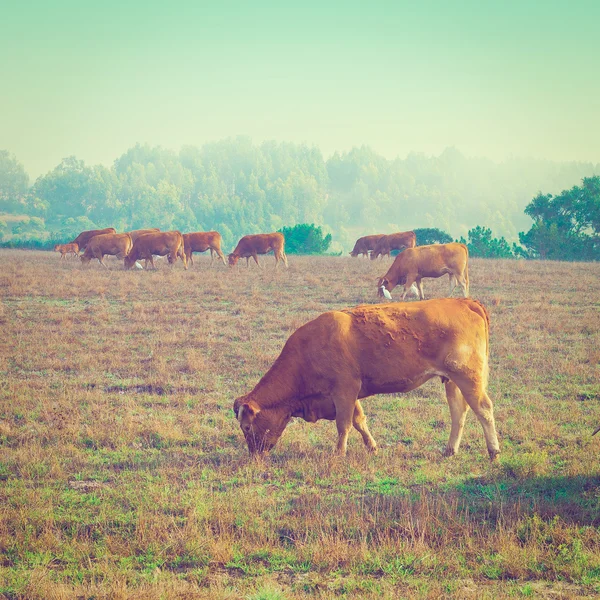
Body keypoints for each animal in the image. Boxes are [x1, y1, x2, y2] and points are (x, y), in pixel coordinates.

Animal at [234, 298, 502, 462]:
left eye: (246, 427)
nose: (254, 456)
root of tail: (464, 302)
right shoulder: (351, 393)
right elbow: (359, 421)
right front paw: (372, 447)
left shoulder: (344, 391)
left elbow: (343, 424)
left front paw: (339, 453)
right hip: (452, 381)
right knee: (459, 413)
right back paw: (449, 450)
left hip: (468, 378)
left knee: (483, 409)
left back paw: (493, 451)